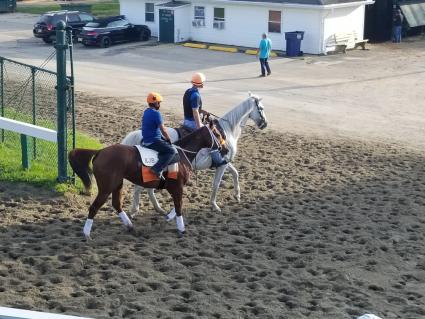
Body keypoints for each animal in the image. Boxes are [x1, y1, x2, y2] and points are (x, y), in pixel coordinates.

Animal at [68, 124, 225, 239]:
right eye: (217, 134)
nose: (225, 149)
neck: (181, 154)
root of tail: (100, 151)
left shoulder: (176, 188)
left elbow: (178, 205)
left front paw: (169, 217)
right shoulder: (177, 187)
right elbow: (179, 206)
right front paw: (181, 228)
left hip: (117, 185)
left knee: (117, 204)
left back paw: (130, 226)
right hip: (106, 188)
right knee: (94, 207)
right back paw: (87, 234)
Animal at [121, 94, 266, 216]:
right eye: (261, 108)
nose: (265, 124)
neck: (226, 130)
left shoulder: (224, 162)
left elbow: (235, 173)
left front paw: (237, 195)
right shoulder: (222, 163)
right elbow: (216, 183)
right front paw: (214, 205)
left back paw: (158, 209)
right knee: (140, 188)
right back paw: (135, 210)